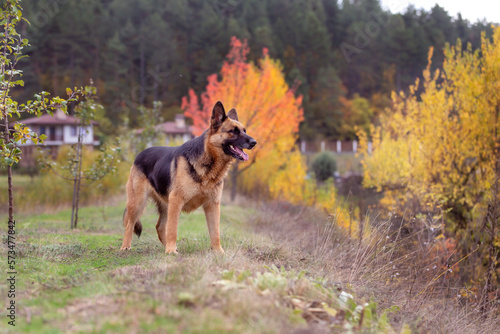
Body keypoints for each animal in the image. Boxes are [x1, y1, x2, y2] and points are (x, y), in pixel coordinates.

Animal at [119, 102, 256, 253]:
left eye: (244, 130)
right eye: (233, 131)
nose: (254, 142)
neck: (209, 161)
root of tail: (139, 155)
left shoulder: (212, 204)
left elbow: (215, 232)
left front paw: (218, 252)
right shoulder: (177, 200)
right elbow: (173, 229)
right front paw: (171, 251)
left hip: (166, 205)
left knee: (159, 226)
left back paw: (167, 247)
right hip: (138, 202)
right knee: (130, 224)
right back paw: (126, 246)